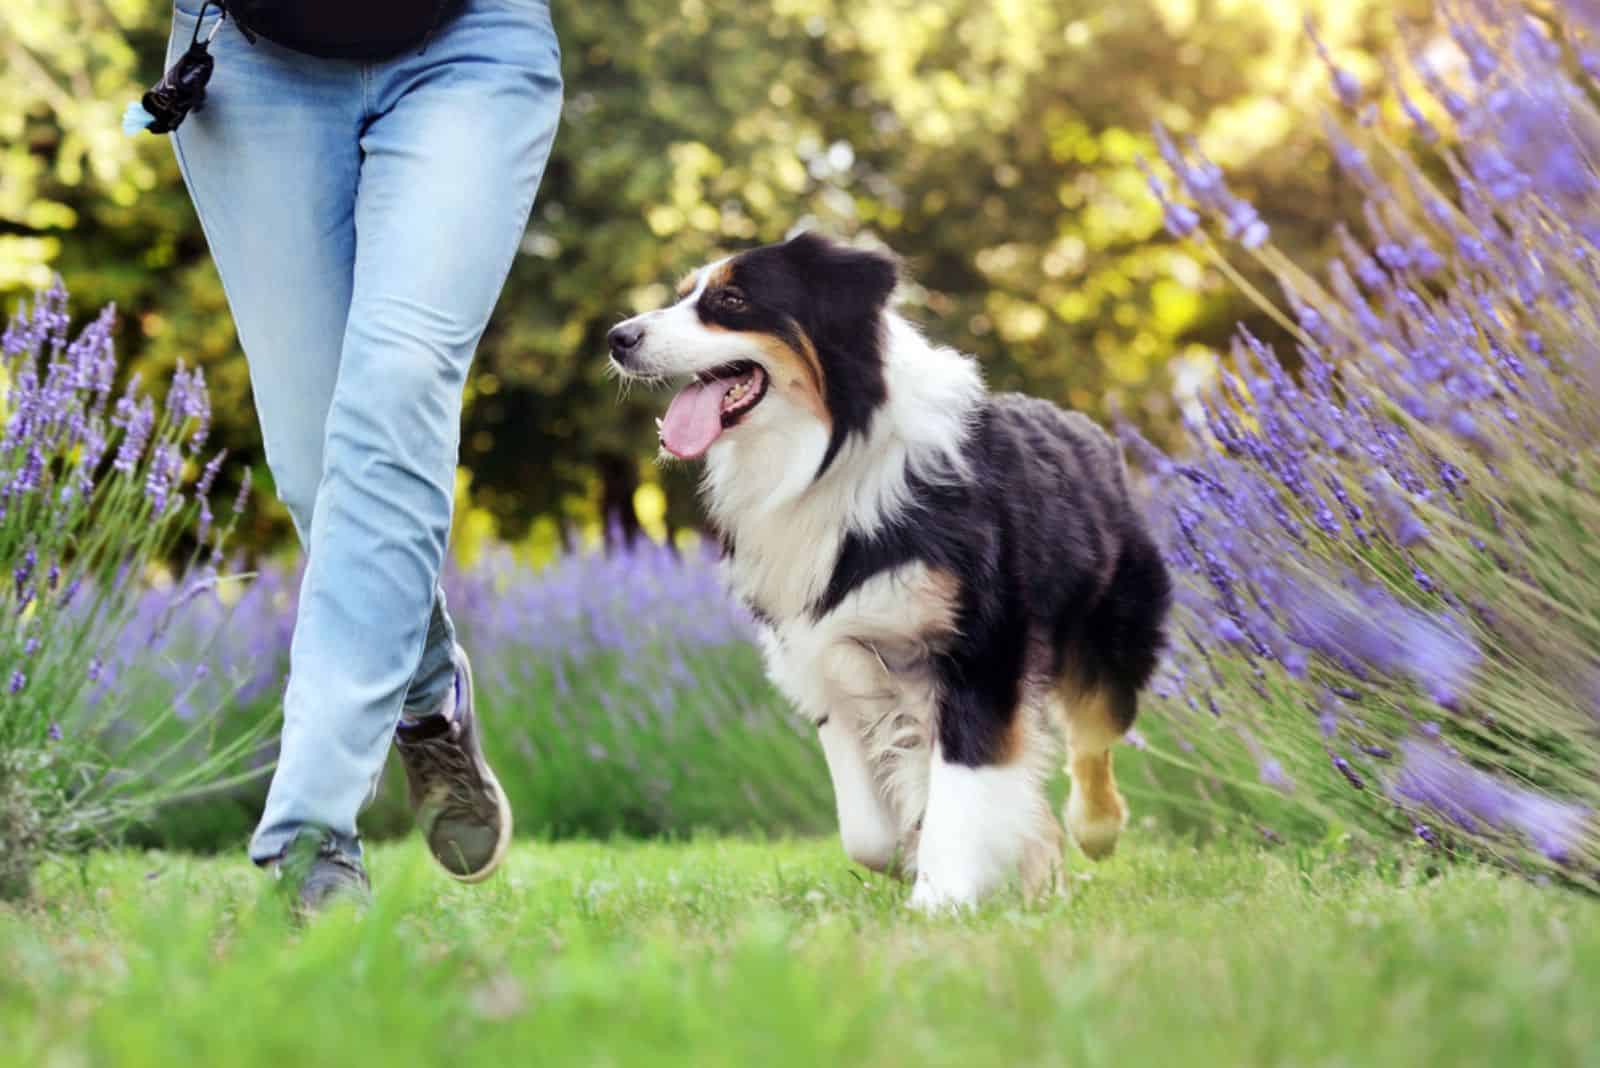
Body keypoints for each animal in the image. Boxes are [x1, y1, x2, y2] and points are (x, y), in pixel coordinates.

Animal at [604, 231, 1171, 908]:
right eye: (683, 293)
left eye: (732, 300)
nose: (616, 336)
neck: (831, 455)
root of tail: (1086, 427)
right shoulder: (823, 656)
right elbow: (866, 831)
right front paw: (923, 861)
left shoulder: (981, 649)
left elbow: (962, 781)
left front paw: (942, 898)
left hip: (1109, 638)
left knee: (1094, 737)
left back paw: (1094, 831)